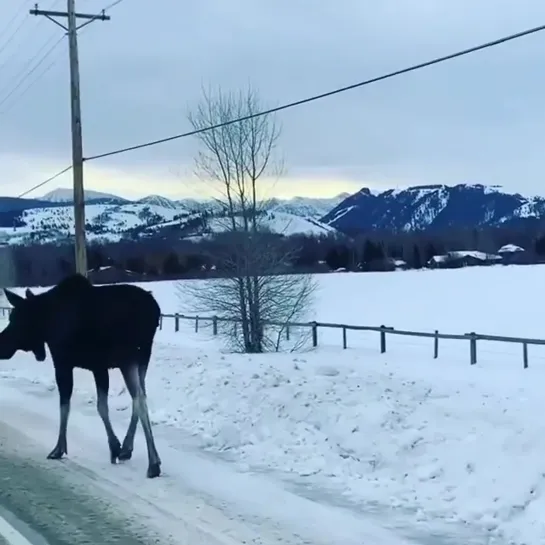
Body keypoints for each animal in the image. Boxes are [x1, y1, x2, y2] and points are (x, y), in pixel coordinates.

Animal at [0, 274, 162, 478]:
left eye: (17, 318)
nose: (1, 345)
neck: (47, 324)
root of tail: (154, 310)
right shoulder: (99, 367)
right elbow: (98, 406)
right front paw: (117, 447)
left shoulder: (66, 362)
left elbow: (71, 405)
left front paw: (60, 448)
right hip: (143, 357)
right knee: (140, 397)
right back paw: (129, 449)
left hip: (129, 358)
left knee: (139, 398)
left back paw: (152, 462)